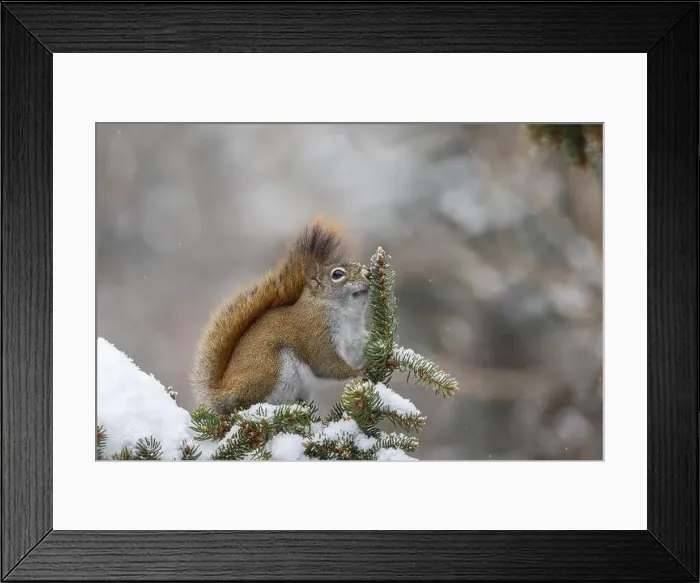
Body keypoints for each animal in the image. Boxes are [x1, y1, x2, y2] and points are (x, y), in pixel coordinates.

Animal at [190, 219, 371, 414]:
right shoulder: (316, 333)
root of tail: (222, 396)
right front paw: (358, 372)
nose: (369, 273)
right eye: (337, 274)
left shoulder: (354, 339)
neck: (347, 316)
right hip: (271, 369)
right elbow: (326, 364)